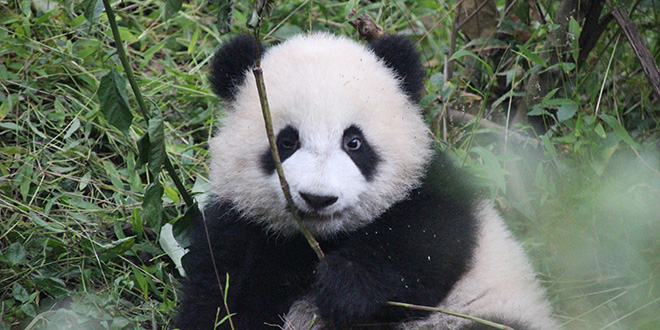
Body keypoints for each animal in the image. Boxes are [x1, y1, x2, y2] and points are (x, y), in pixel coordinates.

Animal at [175, 33, 556, 330]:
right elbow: (220, 293)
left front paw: (343, 287)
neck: (321, 238)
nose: (318, 198)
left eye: (354, 142)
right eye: (286, 141)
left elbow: (424, 246)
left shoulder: (428, 190)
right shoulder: (242, 225)